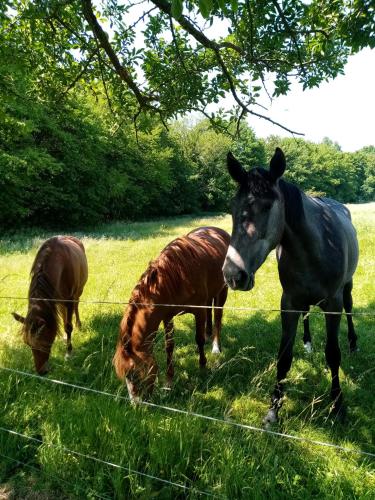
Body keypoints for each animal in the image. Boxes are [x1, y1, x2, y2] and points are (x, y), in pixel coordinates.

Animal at [11, 236, 89, 374]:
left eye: (46, 341)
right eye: (28, 344)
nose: (41, 372)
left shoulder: (69, 299)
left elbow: (68, 326)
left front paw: (68, 353)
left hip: (78, 291)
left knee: (76, 305)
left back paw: (78, 324)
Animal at [112, 227, 229, 402]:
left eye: (134, 374)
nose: (136, 404)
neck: (176, 276)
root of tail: (219, 231)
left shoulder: (198, 311)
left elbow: (199, 339)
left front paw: (202, 367)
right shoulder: (167, 316)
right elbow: (169, 347)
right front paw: (168, 383)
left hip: (223, 290)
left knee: (217, 315)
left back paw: (215, 346)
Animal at [222, 147, 360, 422]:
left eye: (266, 206)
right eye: (233, 207)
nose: (233, 274)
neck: (315, 247)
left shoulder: (333, 304)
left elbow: (333, 354)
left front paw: (337, 406)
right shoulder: (288, 303)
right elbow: (284, 356)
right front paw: (273, 410)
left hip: (347, 288)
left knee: (350, 309)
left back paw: (353, 343)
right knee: (306, 313)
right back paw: (307, 343)